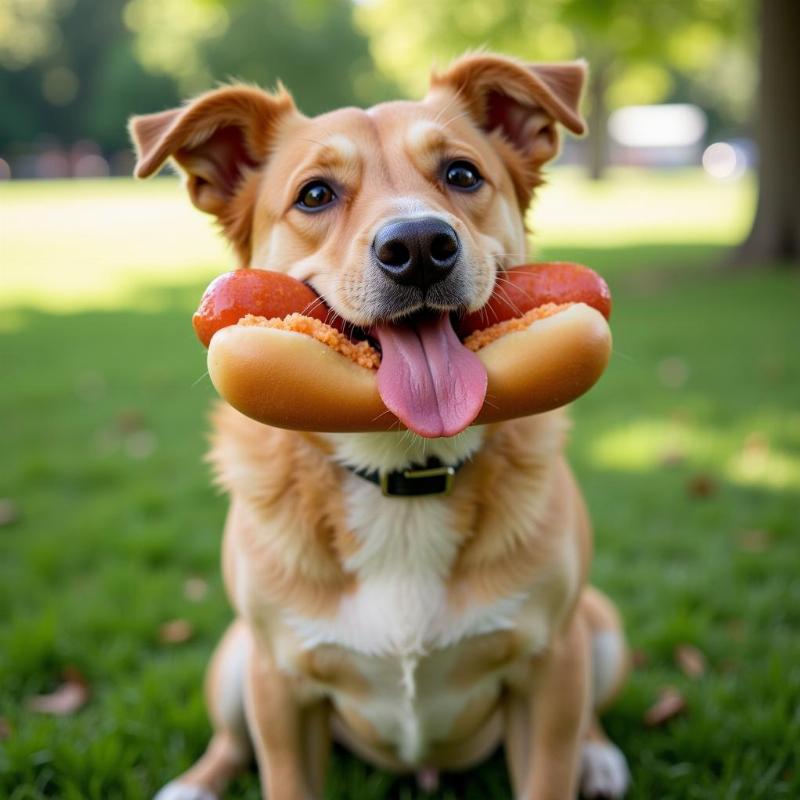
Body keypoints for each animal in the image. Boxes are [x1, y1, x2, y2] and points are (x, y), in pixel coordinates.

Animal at [133, 51, 632, 800]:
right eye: (315, 194)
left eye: (462, 174)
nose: (420, 245)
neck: (406, 471)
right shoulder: (278, 683)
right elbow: (281, 771)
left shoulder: (552, 667)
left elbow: (551, 767)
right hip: (233, 660)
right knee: (229, 739)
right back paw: (194, 783)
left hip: (599, 628)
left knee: (589, 718)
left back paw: (597, 757)